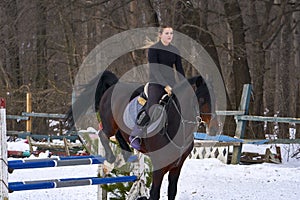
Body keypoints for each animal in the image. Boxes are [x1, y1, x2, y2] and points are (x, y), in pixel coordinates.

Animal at [67, 70, 218, 200]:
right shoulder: (158, 168)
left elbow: (172, 192)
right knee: (102, 134)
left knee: (118, 135)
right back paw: (110, 159)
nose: (215, 129)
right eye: (201, 99)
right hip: (109, 124)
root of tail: (113, 86)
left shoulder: (177, 167)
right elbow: (155, 194)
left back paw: (126, 153)